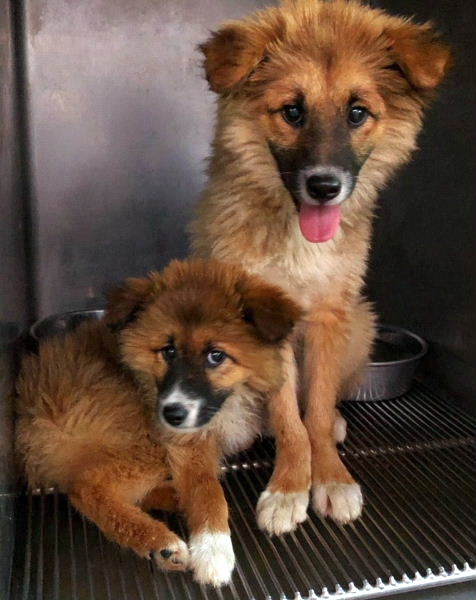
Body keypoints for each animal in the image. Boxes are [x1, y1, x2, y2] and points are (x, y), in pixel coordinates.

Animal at [16, 259, 303, 586]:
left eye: (216, 355)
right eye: (169, 350)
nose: (172, 414)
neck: (231, 400)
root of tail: (34, 402)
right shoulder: (185, 442)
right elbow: (207, 491)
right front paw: (213, 549)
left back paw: (172, 498)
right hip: (141, 437)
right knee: (87, 486)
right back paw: (158, 541)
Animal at [191, 0, 451, 527]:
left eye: (357, 113)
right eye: (293, 111)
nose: (325, 187)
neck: (299, 236)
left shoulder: (333, 314)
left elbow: (315, 406)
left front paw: (329, 476)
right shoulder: (268, 324)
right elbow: (290, 419)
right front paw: (290, 486)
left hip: (361, 323)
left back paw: (332, 423)